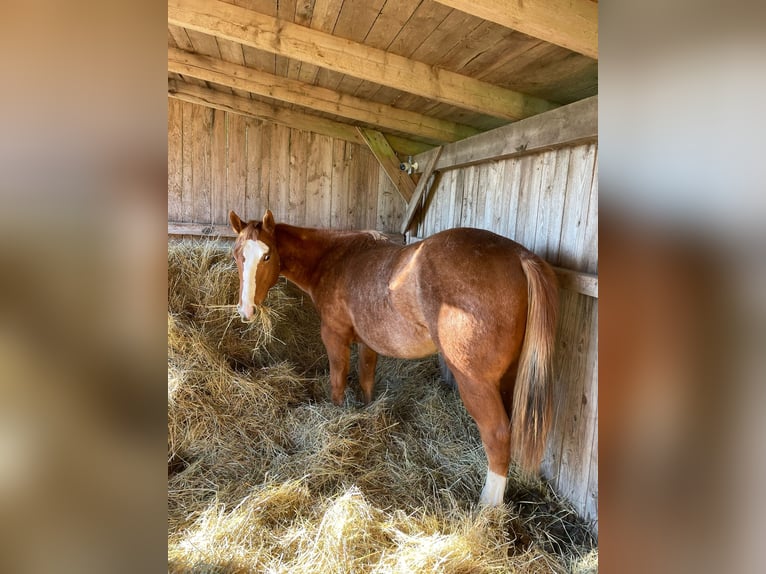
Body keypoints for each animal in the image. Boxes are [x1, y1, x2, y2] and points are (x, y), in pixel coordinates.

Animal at [228, 212, 560, 508]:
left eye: (267, 256)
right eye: (237, 254)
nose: (246, 311)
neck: (335, 258)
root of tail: (519, 256)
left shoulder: (334, 337)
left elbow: (337, 381)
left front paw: (336, 418)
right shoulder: (367, 343)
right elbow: (366, 379)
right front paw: (366, 412)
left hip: (476, 382)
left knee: (498, 435)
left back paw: (488, 508)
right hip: (507, 379)